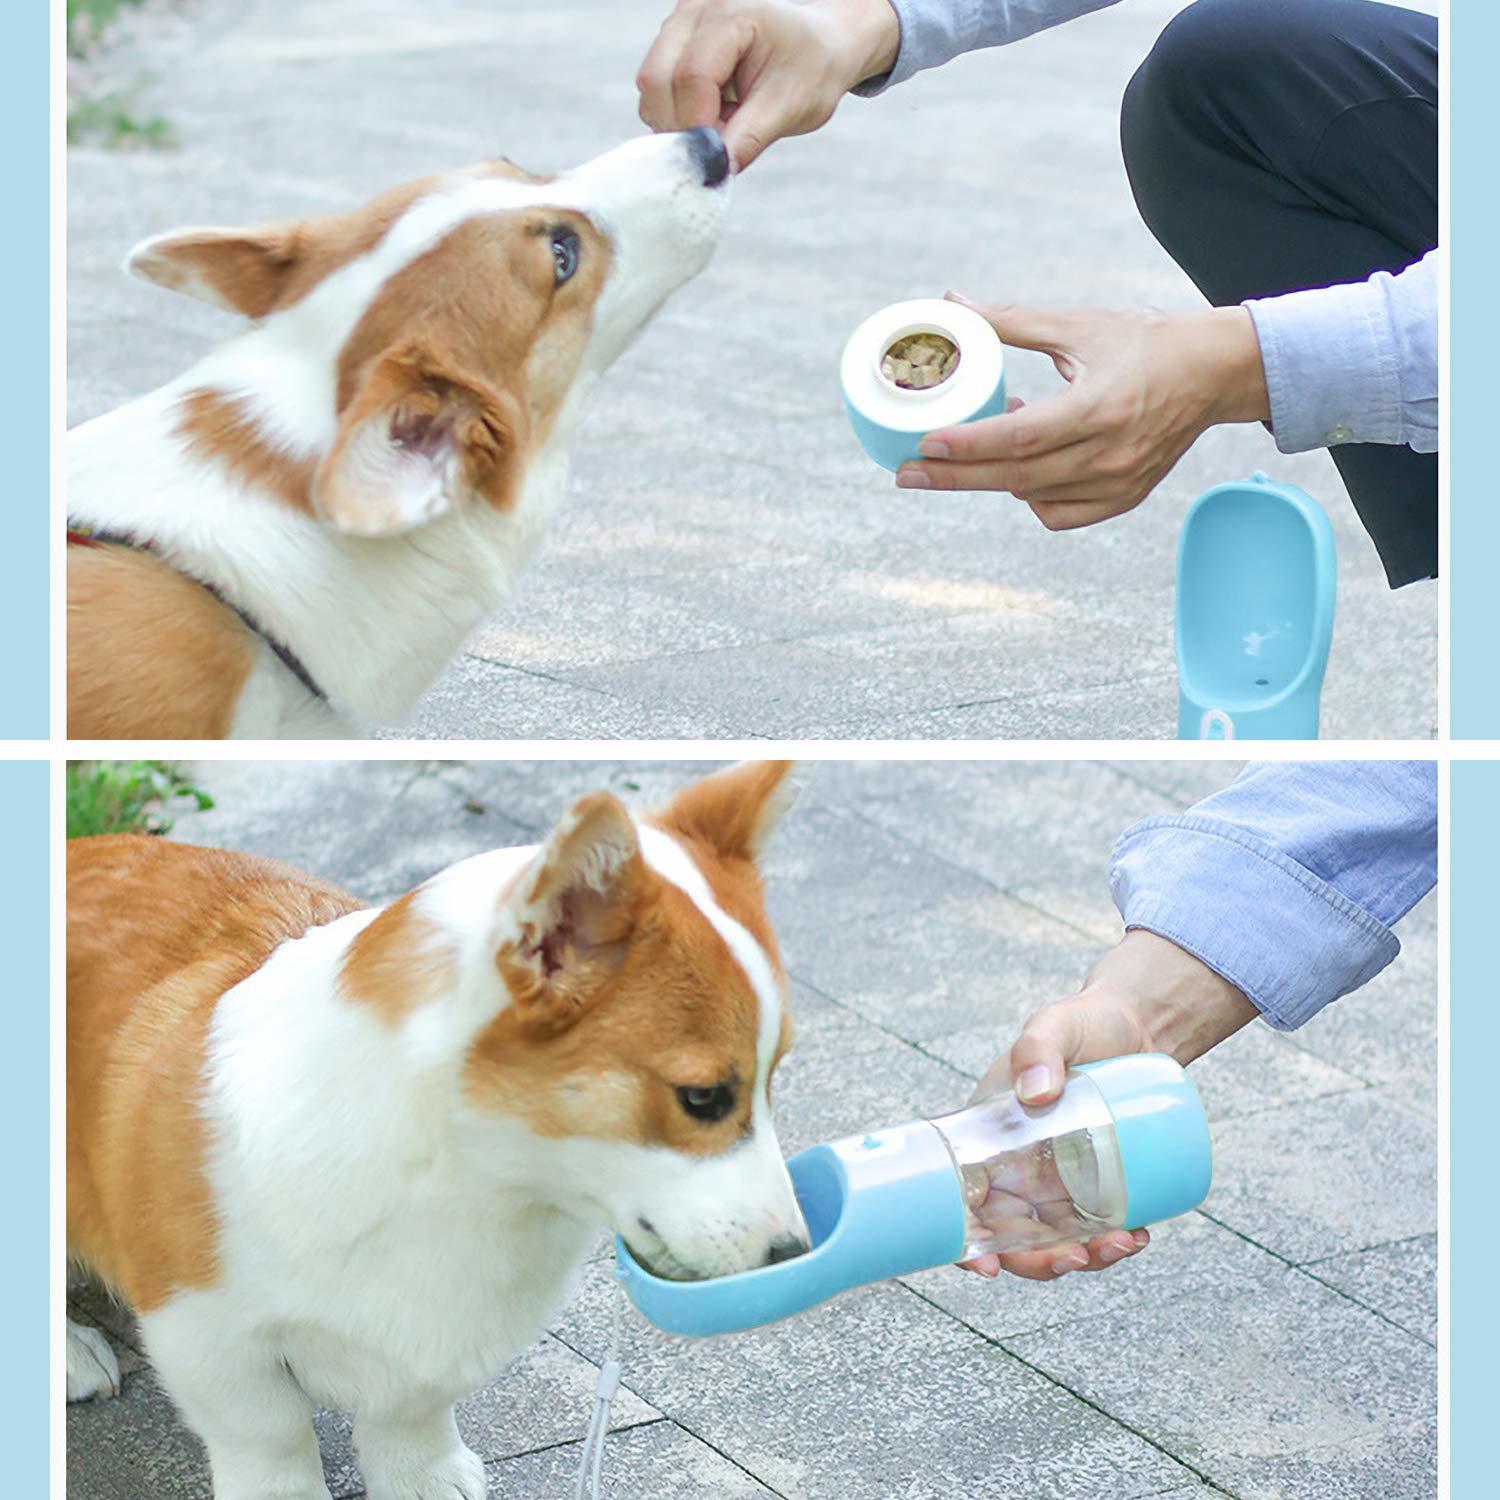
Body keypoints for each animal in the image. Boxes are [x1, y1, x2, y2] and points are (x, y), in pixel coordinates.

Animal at [67, 762, 810, 1500]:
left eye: (776, 1073)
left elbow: (411, 1411)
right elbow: (270, 1437)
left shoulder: (445, 1339)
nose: (794, 1253)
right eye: (703, 1098)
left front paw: (423, 1476)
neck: (469, 1179)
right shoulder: (204, 1330)